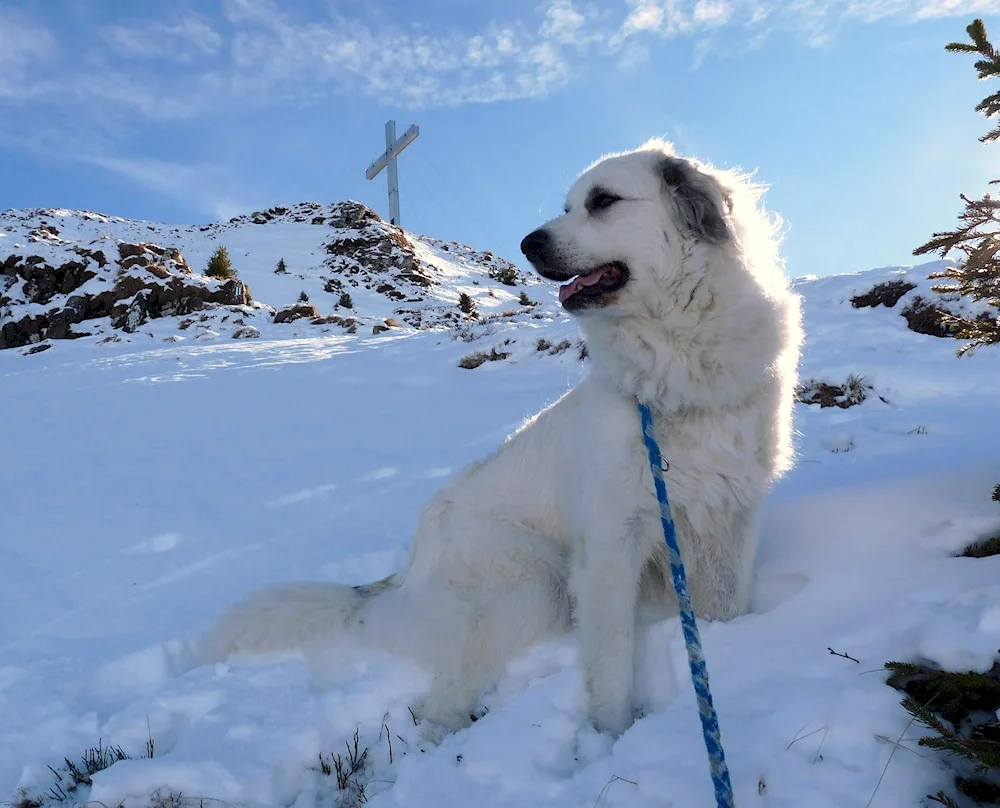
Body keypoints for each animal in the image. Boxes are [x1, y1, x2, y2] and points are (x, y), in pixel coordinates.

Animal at [199, 140, 800, 740]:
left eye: (603, 201)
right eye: (567, 205)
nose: (528, 242)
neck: (677, 370)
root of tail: (407, 570)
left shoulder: (730, 517)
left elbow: (724, 609)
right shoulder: (610, 544)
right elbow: (610, 674)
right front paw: (610, 741)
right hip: (534, 585)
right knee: (439, 706)